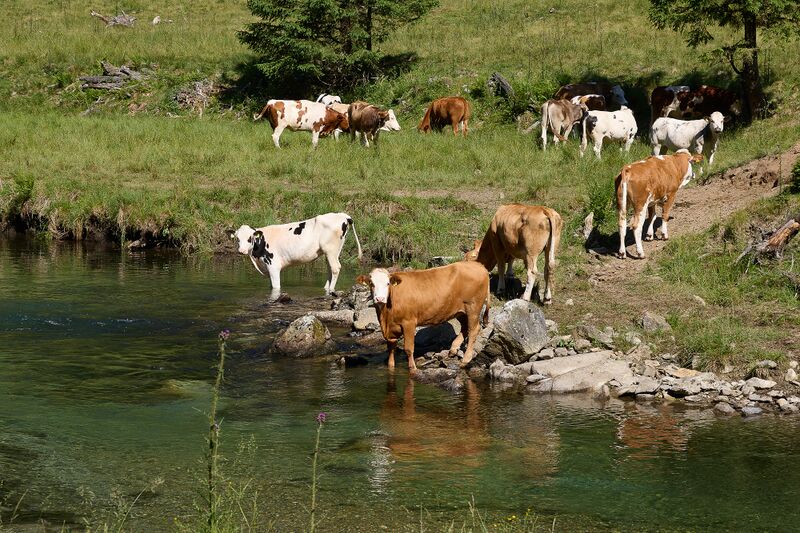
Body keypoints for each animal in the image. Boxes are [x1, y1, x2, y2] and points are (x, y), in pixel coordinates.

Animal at [227, 212, 362, 298]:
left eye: (250, 238)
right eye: (237, 239)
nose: (241, 251)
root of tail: (343, 215)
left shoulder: (273, 266)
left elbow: (276, 287)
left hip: (331, 249)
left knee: (335, 268)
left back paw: (331, 290)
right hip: (330, 252)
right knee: (330, 269)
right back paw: (326, 288)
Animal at [356, 261, 490, 371]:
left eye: (388, 283)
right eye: (371, 283)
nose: (380, 298)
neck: (386, 317)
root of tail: (479, 265)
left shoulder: (409, 322)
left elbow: (409, 348)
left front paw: (413, 368)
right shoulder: (391, 329)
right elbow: (391, 348)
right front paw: (390, 366)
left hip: (473, 307)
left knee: (474, 329)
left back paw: (465, 360)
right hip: (459, 310)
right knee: (465, 327)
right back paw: (453, 349)